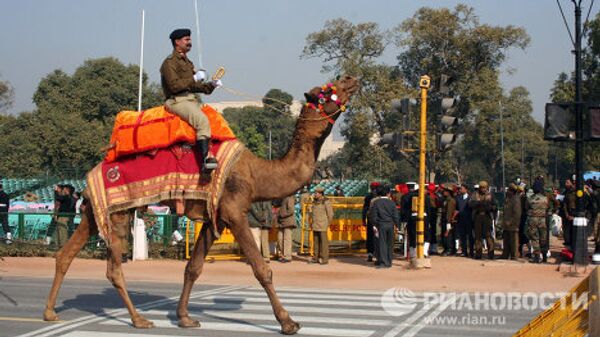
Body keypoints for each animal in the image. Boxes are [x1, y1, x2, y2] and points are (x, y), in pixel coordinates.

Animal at [43, 75, 360, 334]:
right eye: (326, 92)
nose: (350, 77)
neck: (257, 173)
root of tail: (93, 173)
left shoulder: (213, 215)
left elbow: (193, 267)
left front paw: (184, 317)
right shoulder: (234, 211)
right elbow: (261, 269)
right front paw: (288, 322)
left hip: (94, 212)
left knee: (66, 254)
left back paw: (50, 313)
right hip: (120, 211)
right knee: (113, 267)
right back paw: (139, 319)